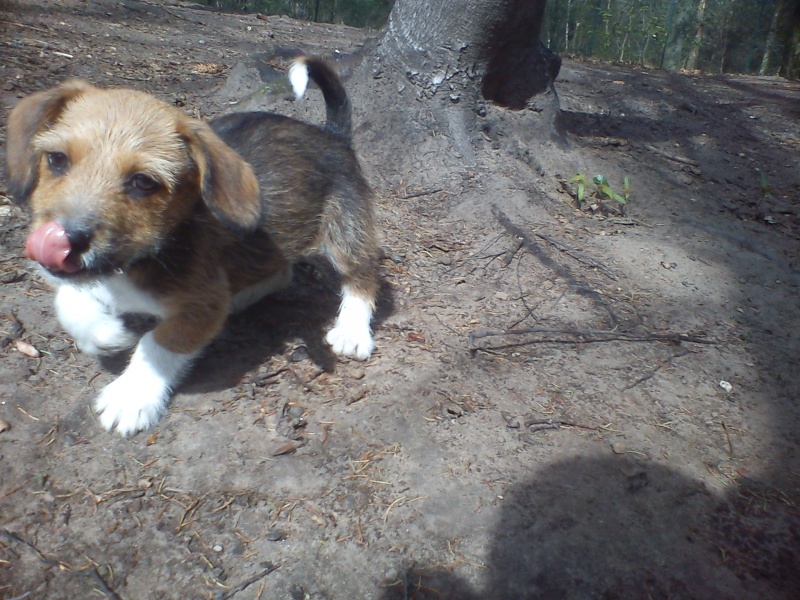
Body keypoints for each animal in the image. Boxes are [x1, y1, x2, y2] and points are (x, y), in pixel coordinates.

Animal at [5, 57, 382, 436]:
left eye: (143, 182)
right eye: (56, 159)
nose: (63, 239)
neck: (146, 256)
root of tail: (332, 134)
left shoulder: (201, 308)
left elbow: (156, 342)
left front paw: (131, 394)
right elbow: (68, 298)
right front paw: (103, 332)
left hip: (345, 230)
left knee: (362, 276)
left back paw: (352, 331)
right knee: (282, 272)